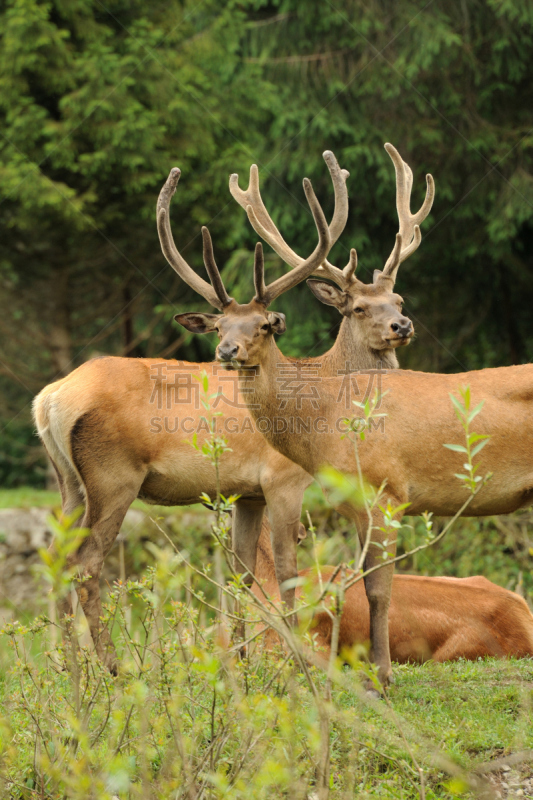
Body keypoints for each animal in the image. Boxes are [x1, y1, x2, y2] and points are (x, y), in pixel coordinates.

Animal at [32, 145, 432, 668]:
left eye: (398, 298)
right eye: (358, 308)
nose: (402, 326)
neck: (319, 386)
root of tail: (50, 398)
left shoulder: (247, 492)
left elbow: (242, 574)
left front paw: (241, 659)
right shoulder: (283, 478)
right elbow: (286, 568)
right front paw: (294, 656)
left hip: (68, 482)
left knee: (57, 558)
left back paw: (67, 666)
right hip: (111, 475)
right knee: (86, 563)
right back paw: (110, 667)